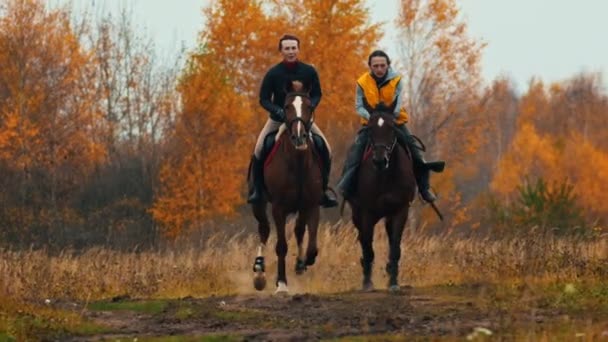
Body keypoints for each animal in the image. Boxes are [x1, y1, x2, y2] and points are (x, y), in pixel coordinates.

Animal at [248, 80, 324, 294]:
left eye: (309, 106)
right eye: (287, 106)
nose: (299, 137)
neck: (297, 162)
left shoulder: (311, 205)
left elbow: (311, 243)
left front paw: (304, 261)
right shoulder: (278, 208)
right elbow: (281, 245)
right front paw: (281, 283)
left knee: (298, 230)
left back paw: (299, 264)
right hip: (259, 204)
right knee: (264, 229)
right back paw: (259, 273)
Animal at [342, 109, 418, 292]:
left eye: (392, 129)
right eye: (370, 129)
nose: (379, 160)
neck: (385, 176)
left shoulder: (401, 210)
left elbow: (395, 246)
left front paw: (394, 282)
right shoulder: (367, 213)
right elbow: (368, 247)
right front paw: (367, 283)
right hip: (357, 215)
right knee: (363, 240)